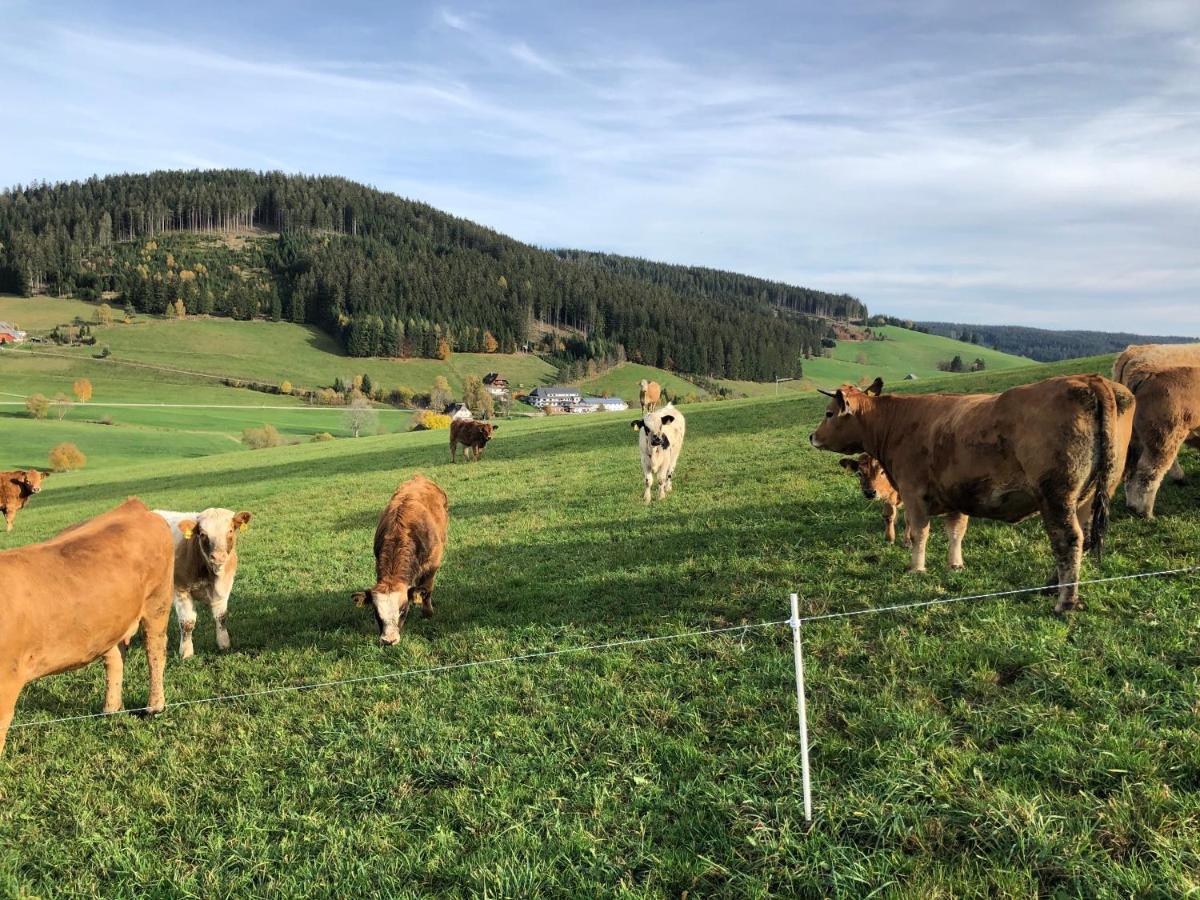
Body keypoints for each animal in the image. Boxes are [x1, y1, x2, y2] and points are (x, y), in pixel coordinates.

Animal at [0, 496, 175, 758]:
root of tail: (133, 506)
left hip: (158, 601)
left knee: (155, 651)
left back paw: (154, 706)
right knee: (114, 658)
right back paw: (110, 709)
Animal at [154, 508, 253, 662]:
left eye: (230, 530)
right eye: (202, 534)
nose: (218, 556)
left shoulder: (224, 589)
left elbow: (221, 617)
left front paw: (224, 644)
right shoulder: (181, 590)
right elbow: (187, 623)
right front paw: (186, 652)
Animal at [355, 475, 453, 643]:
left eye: (402, 610)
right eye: (376, 612)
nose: (389, 640)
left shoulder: (432, 566)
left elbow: (427, 590)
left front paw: (427, 613)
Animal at [806, 374, 1132, 614]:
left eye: (828, 413)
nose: (812, 436)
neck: (897, 421)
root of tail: (1089, 380)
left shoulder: (914, 493)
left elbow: (918, 532)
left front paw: (916, 568)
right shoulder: (955, 494)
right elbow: (956, 531)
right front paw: (955, 565)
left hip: (1056, 495)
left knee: (1068, 540)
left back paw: (1065, 602)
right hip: (1088, 496)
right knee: (1083, 538)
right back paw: (1051, 586)